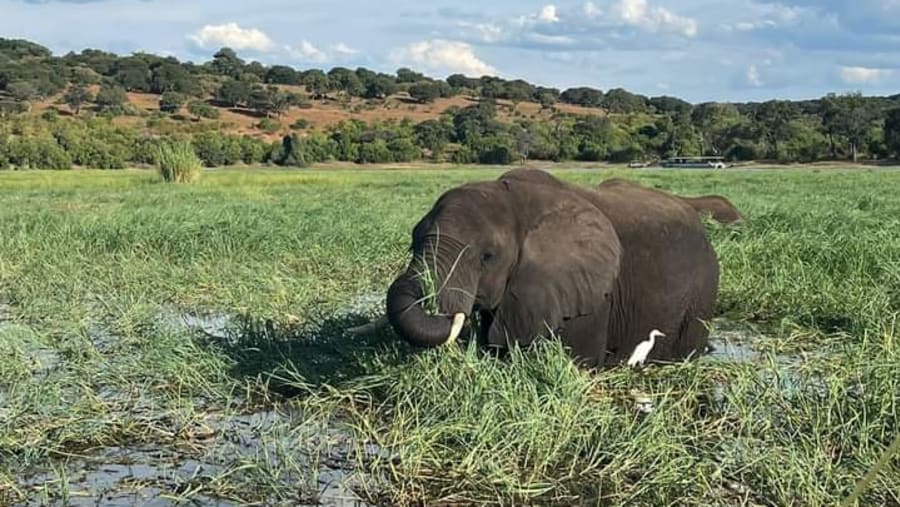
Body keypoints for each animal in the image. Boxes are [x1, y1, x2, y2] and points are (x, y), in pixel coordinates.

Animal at [355, 169, 720, 369]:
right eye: (413, 241)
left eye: (487, 256)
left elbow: (578, 361)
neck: (517, 200)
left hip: (702, 292)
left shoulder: (591, 297)